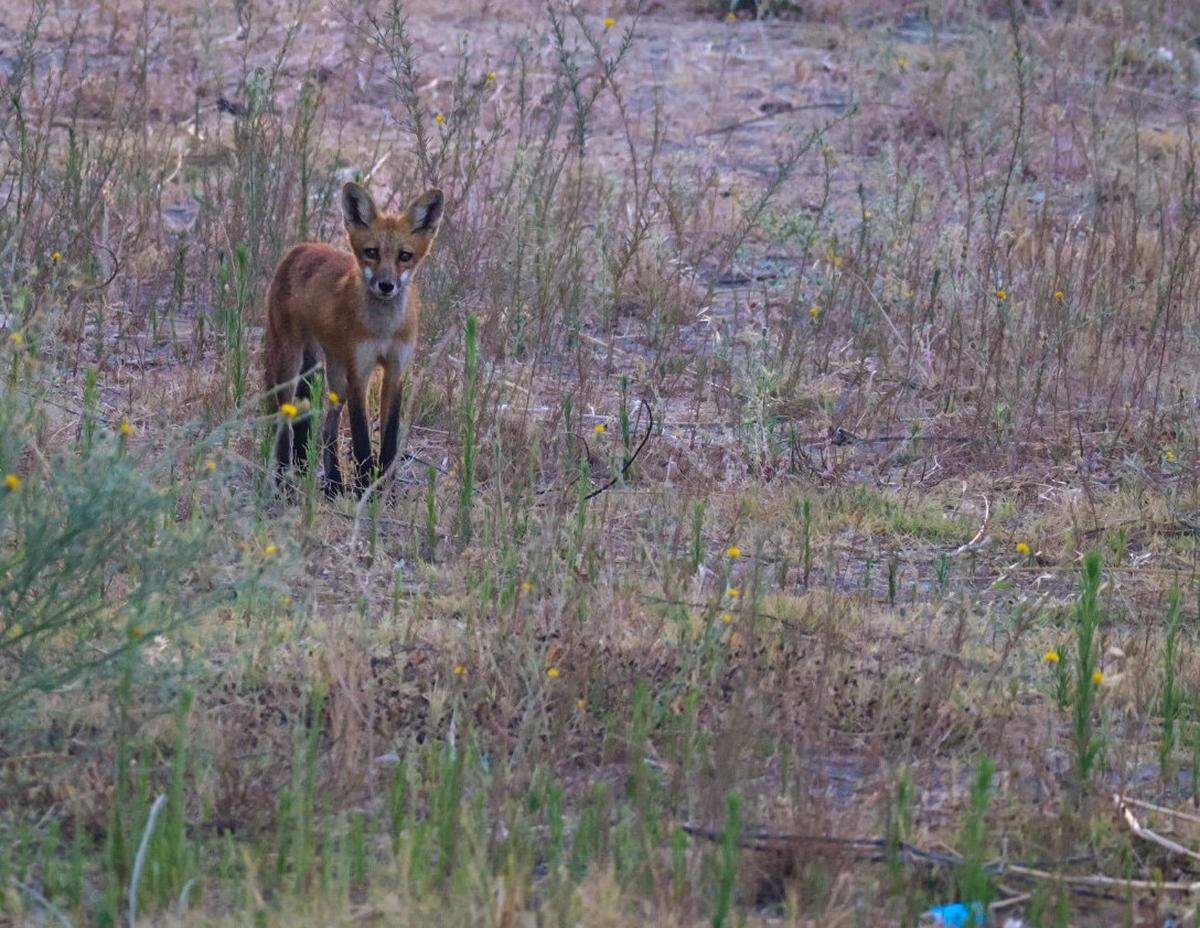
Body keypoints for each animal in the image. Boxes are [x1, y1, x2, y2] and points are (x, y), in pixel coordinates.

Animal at [265, 181, 444, 496]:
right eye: (371, 252)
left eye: (404, 256)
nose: (386, 285)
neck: (383, 329)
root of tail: (301, 247)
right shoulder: (359, 373)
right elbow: (361, 439)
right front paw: (363, 489)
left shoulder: (395, 370)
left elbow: (389, 437)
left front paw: (383, 490)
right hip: (292, 359)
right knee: (284, 418)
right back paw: (285, 478)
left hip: (334, 374)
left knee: (327, 428)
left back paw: (332, 482)